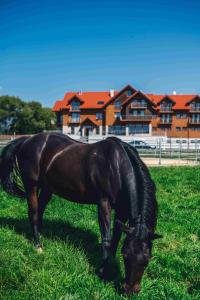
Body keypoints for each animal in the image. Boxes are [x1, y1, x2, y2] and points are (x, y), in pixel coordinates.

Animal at [0, 134, 161, 296]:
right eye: (126, 256)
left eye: (147, 259)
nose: (130, 291)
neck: (117, 165)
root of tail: (27, 140)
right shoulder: (103, 203)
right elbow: (107, 238)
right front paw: (103, 271)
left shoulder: (122, 210)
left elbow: (115, 238)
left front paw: (111, 264)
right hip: (31, 186)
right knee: (33, 213)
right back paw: (38, 246)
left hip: (47, 188)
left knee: (40, 212)